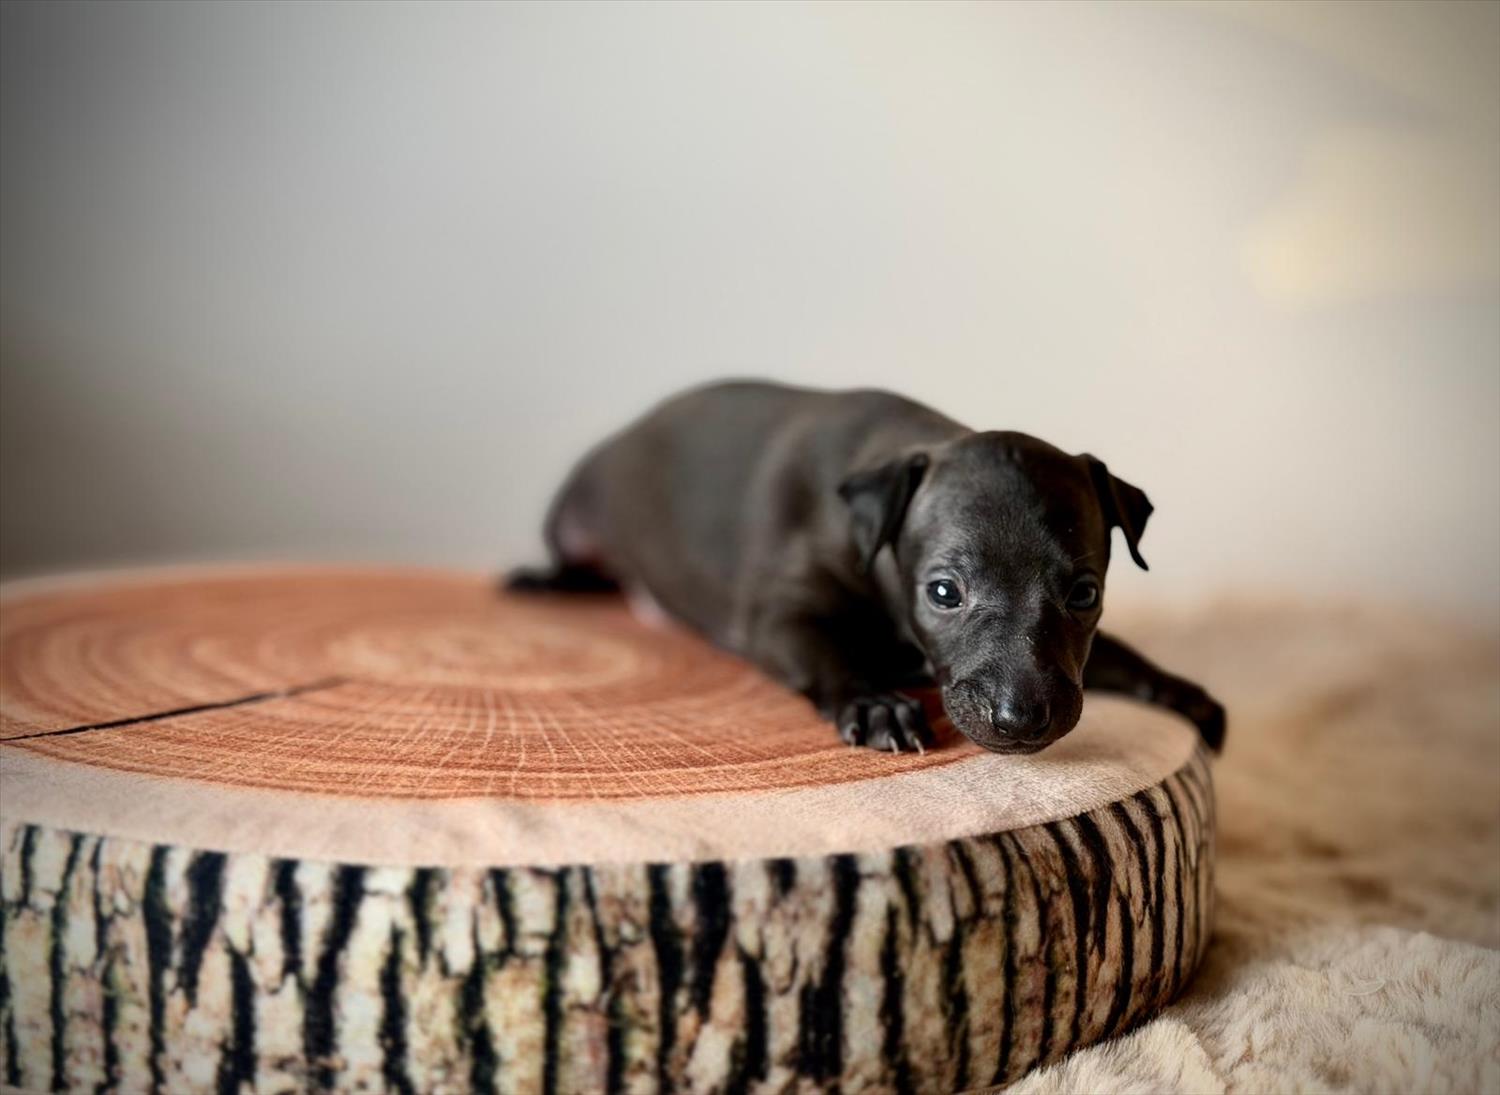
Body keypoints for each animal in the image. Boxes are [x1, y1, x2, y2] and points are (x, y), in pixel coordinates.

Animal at [510, 380, 1225, 755]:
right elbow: (827, 652)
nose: (1022, 721)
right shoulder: (781, 617)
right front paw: (875, 701)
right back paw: (542, 579)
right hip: (571, 514)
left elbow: (1116, 652)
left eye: (1084, 594)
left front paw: (1176, 688)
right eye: (944, 592)